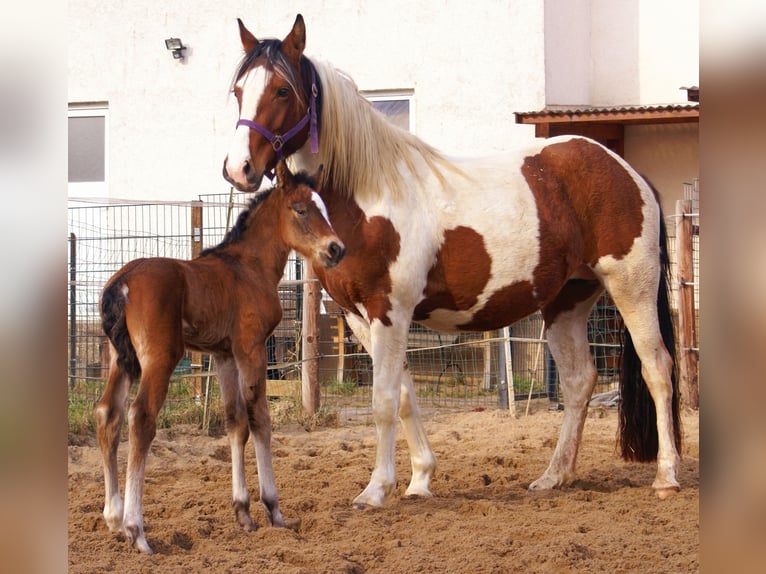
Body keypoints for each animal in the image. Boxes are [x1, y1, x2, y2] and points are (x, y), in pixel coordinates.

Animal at [97, 161, 346, 552]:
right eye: (301, 209)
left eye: (324, 207)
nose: (336, 249)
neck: (248, 267)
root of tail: (122, 281)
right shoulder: (252, 349)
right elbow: (260, 419)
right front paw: (274, 510)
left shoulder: (225, 356)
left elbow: (235, 422)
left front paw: (242, 512)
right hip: (160, 358)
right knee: (141, 417)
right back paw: (136, 530)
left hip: (121, 359)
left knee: (109, 413)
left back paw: (113, 517)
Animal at [224, 15, 684, 512]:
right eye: (239, 90)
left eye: (281, 90)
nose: (238, 168)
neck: (367, 197)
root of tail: (626, 171)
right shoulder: (362, 318)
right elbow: (406, 397)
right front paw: (419, 479)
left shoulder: (390, 312)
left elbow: (384, 401)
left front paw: (376, 489)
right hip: (567, 301)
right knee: (580, 381)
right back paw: (554, 476)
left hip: (631, 287)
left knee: (658, 368)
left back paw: (666, 475)